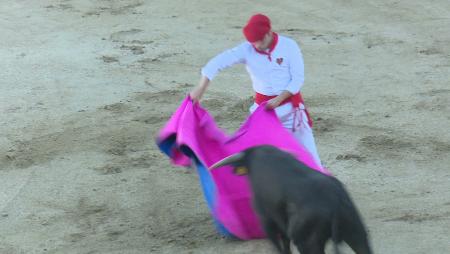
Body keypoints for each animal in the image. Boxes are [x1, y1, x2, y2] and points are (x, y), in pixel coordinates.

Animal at [209, 145, 370, 254]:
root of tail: (333, 200)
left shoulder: (266, 219)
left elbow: (277, 243)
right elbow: (285, 241)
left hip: (308, 243)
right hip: (356, 230)